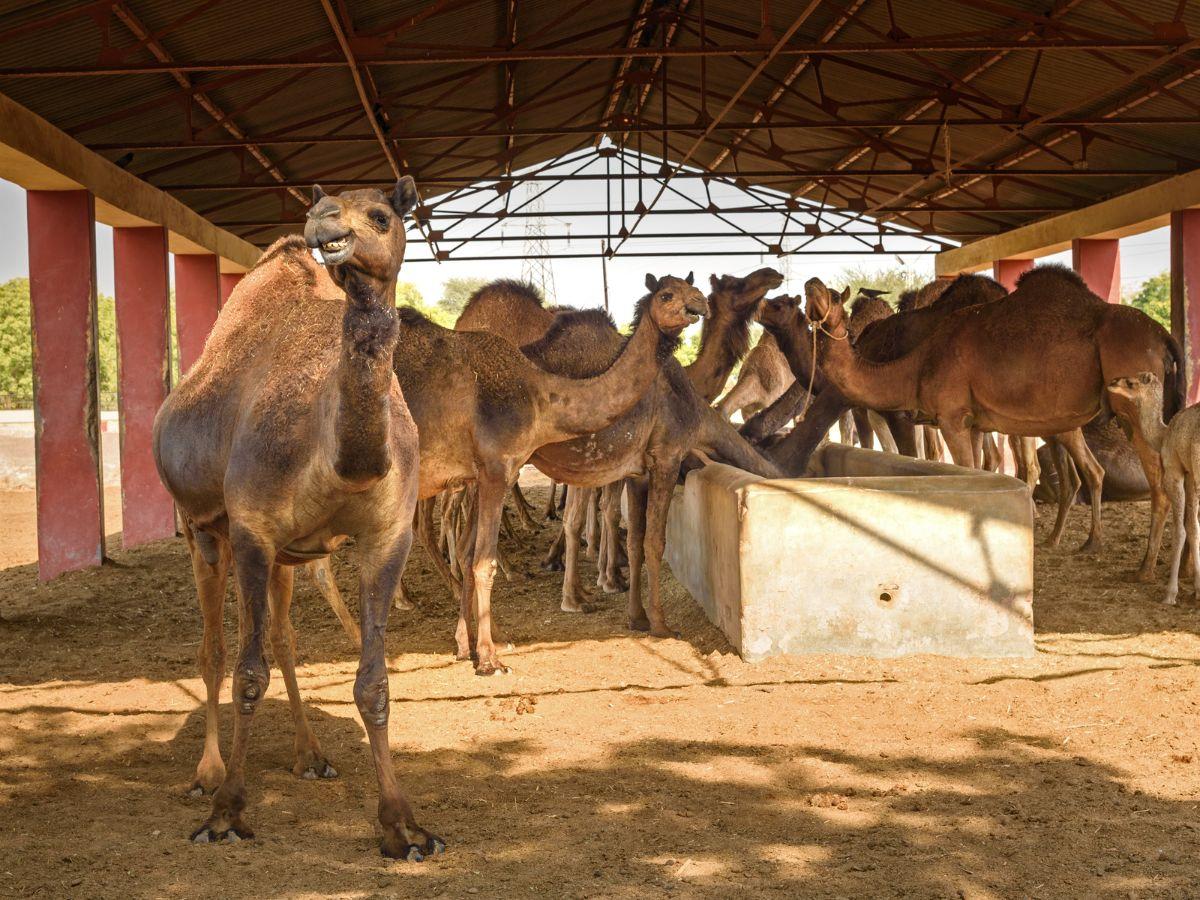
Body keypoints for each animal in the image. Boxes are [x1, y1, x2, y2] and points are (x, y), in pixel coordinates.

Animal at [154, 179, 442, 858]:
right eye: (323, 206)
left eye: (382, 215)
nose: (323, 223)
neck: (337, 455)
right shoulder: (253, 529)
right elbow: (246, 673)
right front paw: (226, 815)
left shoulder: (387, 535)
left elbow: (373, 682)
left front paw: (403, 827)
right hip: (203, 532)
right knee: (214, 646)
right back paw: (208, 773)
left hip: (285, 555)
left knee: (282, 637)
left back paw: (310, 754)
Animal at [804, 265, 1184, 576]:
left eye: (835, 297)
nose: (811, 282)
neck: (918, 363)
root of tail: (1163, 336)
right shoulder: (975, 424)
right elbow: (981, 469)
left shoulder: (952, 417)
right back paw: (1089, 543)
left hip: (1132, 404)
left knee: (1155, 479)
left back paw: (1145, 567)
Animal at [1108, 372, 1197, 604]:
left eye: (1131, 383)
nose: (1111, 383)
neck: (1163, 435)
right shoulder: (1190, 476)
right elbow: (1193, 528)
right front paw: (1197, 590)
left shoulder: (1174, 470)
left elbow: (1180, 529)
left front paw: (1170, 594)